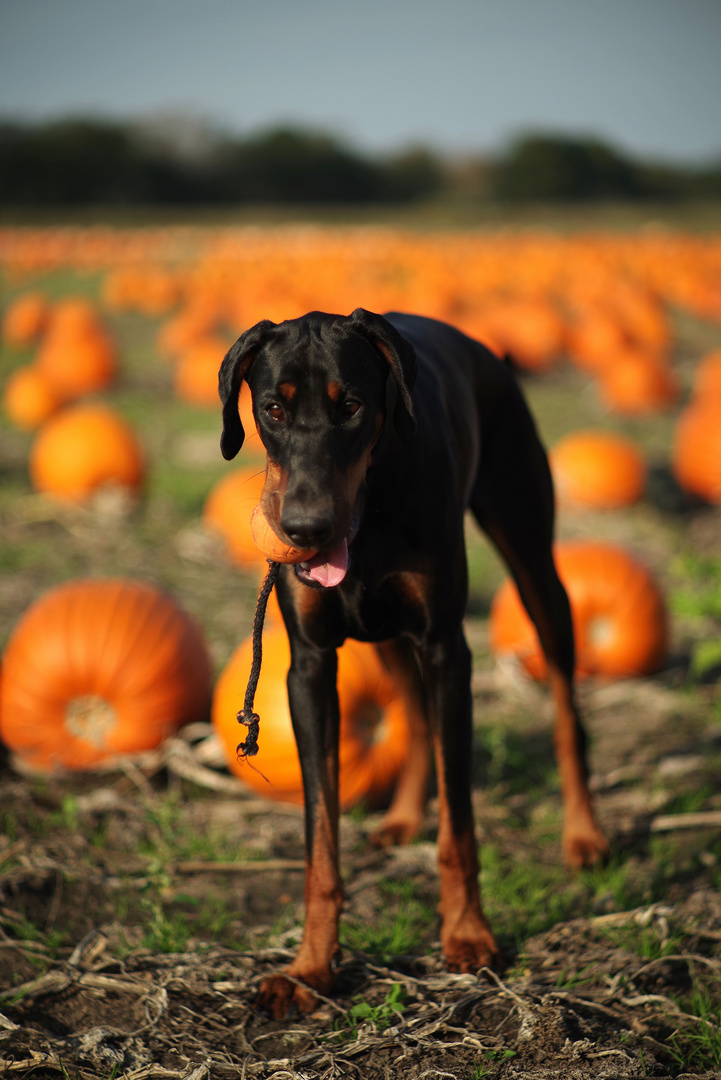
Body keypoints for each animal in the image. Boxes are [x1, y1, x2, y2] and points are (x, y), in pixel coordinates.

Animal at [218, 308, 608, 1015]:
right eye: (272, 409)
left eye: (351, 406)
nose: (305, 530)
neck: (368, 512)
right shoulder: (309, 667)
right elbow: (321, 842)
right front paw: (309, 968)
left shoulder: (447, 649)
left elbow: (460, 828)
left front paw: (468, 935)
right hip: (386, 636)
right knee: (414, 713)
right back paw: (400, 819)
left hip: (536, 566)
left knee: (567, 708)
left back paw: (584, 833)